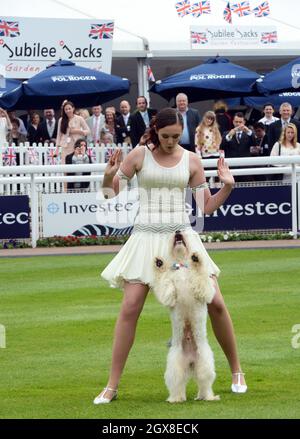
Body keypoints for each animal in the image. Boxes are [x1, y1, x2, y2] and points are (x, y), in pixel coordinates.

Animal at [154, 232, 219, 404]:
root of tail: (190, 361)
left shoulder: (205, 290)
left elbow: (201, 277)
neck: (182, 266)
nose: (178, 231)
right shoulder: (168, 292)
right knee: (177, 384)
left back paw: (207, 397)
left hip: (205, 364)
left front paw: (196, 258)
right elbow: (164, 282)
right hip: (175, 367)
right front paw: (159, 263)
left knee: (204, 384)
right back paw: (176, 399)